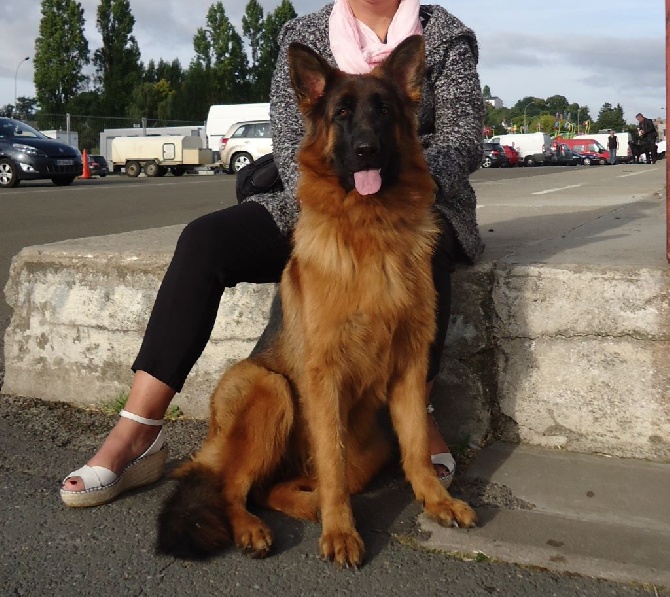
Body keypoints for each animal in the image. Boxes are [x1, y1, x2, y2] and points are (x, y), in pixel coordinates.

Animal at [157, 35, 478, 564]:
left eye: (384, 110)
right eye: (342, 113)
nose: (367, 151)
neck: (370, 232)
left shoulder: (410, 370)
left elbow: (413, 447)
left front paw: (436, 501)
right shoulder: (324, 378)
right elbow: (332, 459)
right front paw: (341, 531)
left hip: (369, 447)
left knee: (278, 487)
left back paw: (309, 507)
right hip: (270, 389)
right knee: (233, 487)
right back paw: (255, 527)